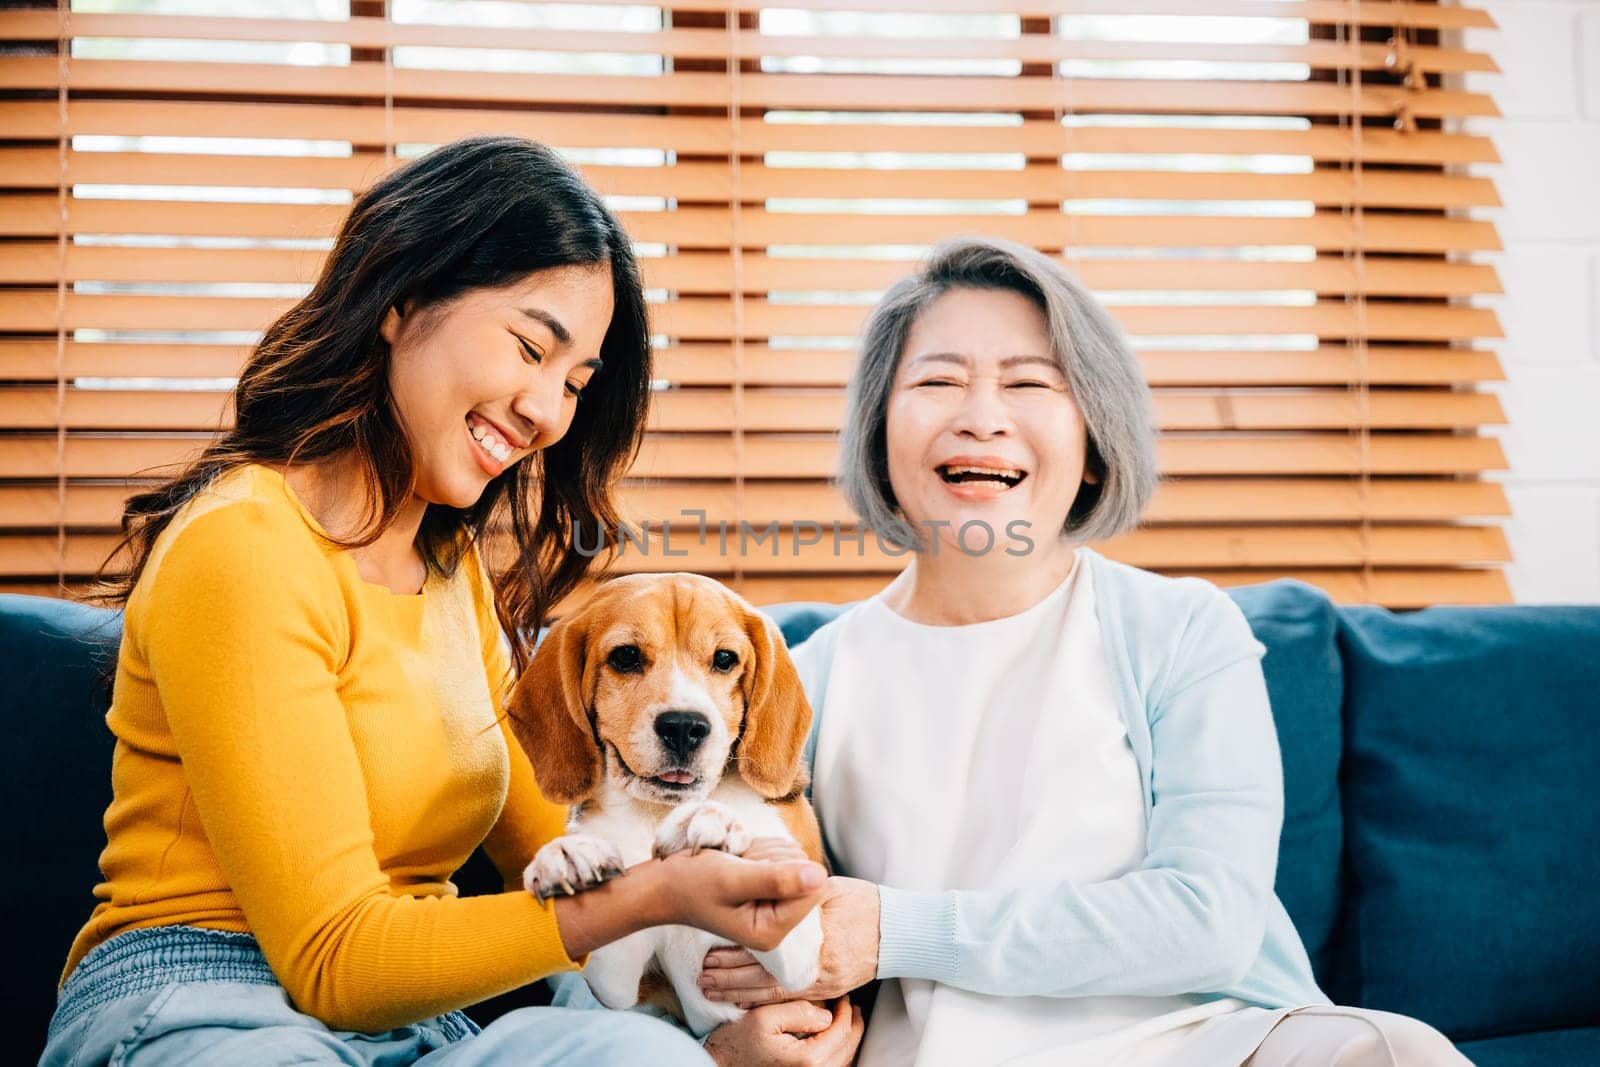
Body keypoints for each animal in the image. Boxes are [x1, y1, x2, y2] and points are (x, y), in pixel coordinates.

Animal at [502, 575, 825, 1036]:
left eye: (724, 659)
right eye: (626, 656)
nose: (685, 726)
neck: (656, 812)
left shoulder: (800, 961)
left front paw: (711, 819)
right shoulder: (619, 981)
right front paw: (567, 855)